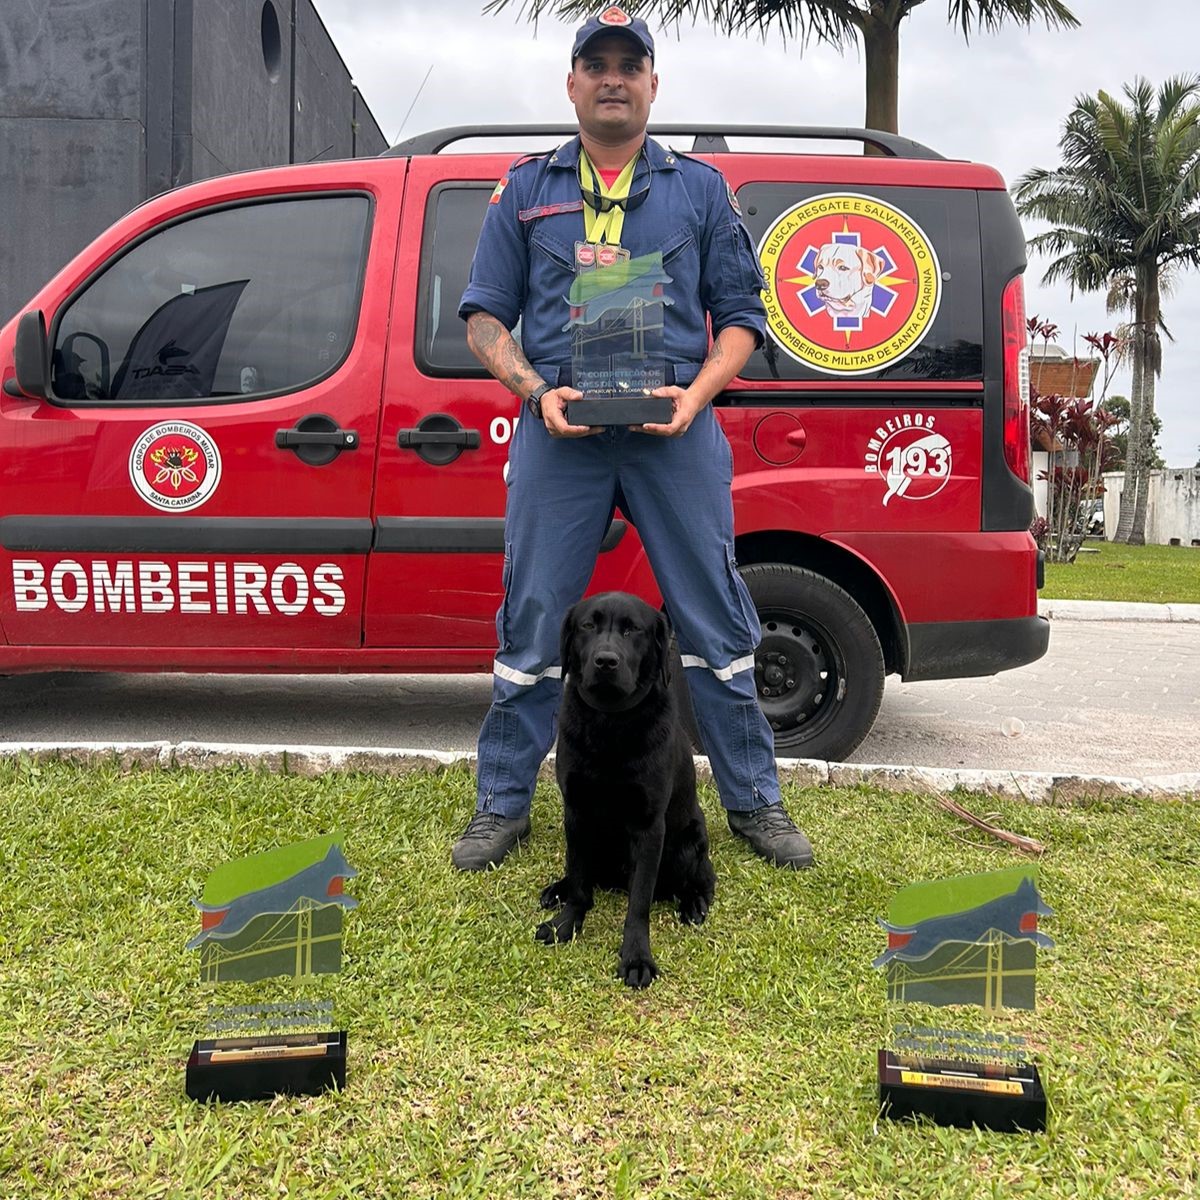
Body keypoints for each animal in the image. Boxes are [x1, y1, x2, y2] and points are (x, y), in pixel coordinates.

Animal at [540, 588, 715, 984]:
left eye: (632, 629)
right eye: (588, 626)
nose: (606, 661)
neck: (609, 721)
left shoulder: (650, 827)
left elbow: (639, 902)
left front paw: (637, 957)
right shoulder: (575, 813)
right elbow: (579, 880)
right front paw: (566, 923)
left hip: (689, 842)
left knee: (702, 878)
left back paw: (694, 903)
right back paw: (557, 889)